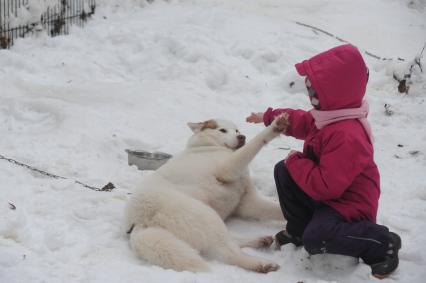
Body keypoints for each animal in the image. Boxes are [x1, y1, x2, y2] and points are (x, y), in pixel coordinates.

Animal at [125, 114, 288, 274]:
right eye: (222, 130)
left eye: (236, 130)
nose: (242, 137)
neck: (209, 146)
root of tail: (137, 222)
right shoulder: (227, 168)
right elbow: (255, 143)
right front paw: (275, 126)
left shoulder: (249, 204)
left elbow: (278, 210)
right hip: (207, 215)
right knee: (228, 253)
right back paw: (262, 264)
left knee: (231, 242)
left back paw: (260, 241)